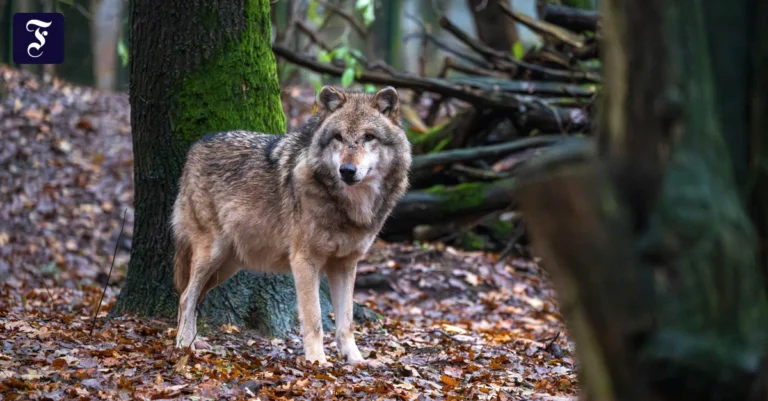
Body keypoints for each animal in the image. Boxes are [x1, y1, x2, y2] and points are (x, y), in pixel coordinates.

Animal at [171, 86, 411, 365]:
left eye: (369, 137)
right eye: (338, 137)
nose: (347, 170)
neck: (349, 206)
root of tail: (196, 145)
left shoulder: (345, 264)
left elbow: (346, 322)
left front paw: (355, 359)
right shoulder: (305, 261)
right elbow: (315, 319)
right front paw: (318, 361)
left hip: (226, 266)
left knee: (193, 298)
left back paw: (192, 343)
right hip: (212, 254)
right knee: (185, 297)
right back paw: (184, 346)